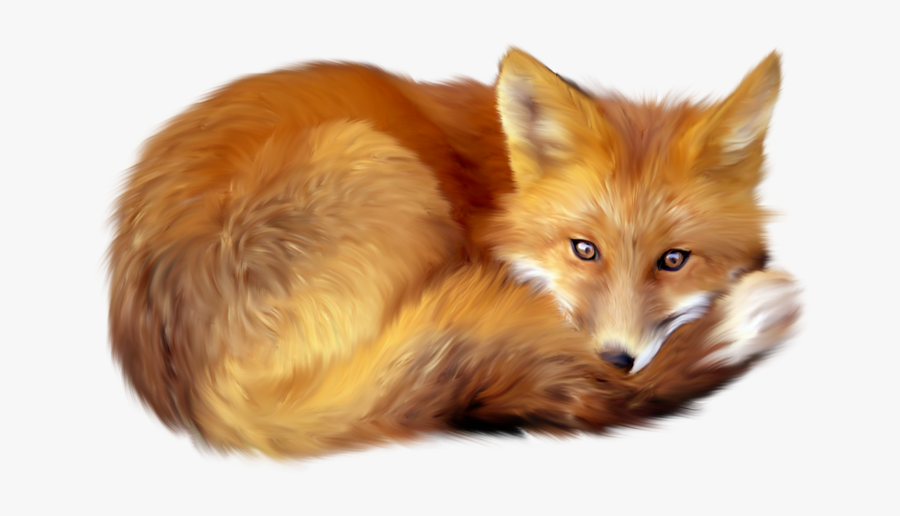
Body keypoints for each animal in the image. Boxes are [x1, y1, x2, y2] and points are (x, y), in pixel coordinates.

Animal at [107, 49, 801, 457]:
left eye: (674, 260)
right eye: (584, 250)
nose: (615, 361)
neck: (501, 185)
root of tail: (200, 400)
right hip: (376, 161)